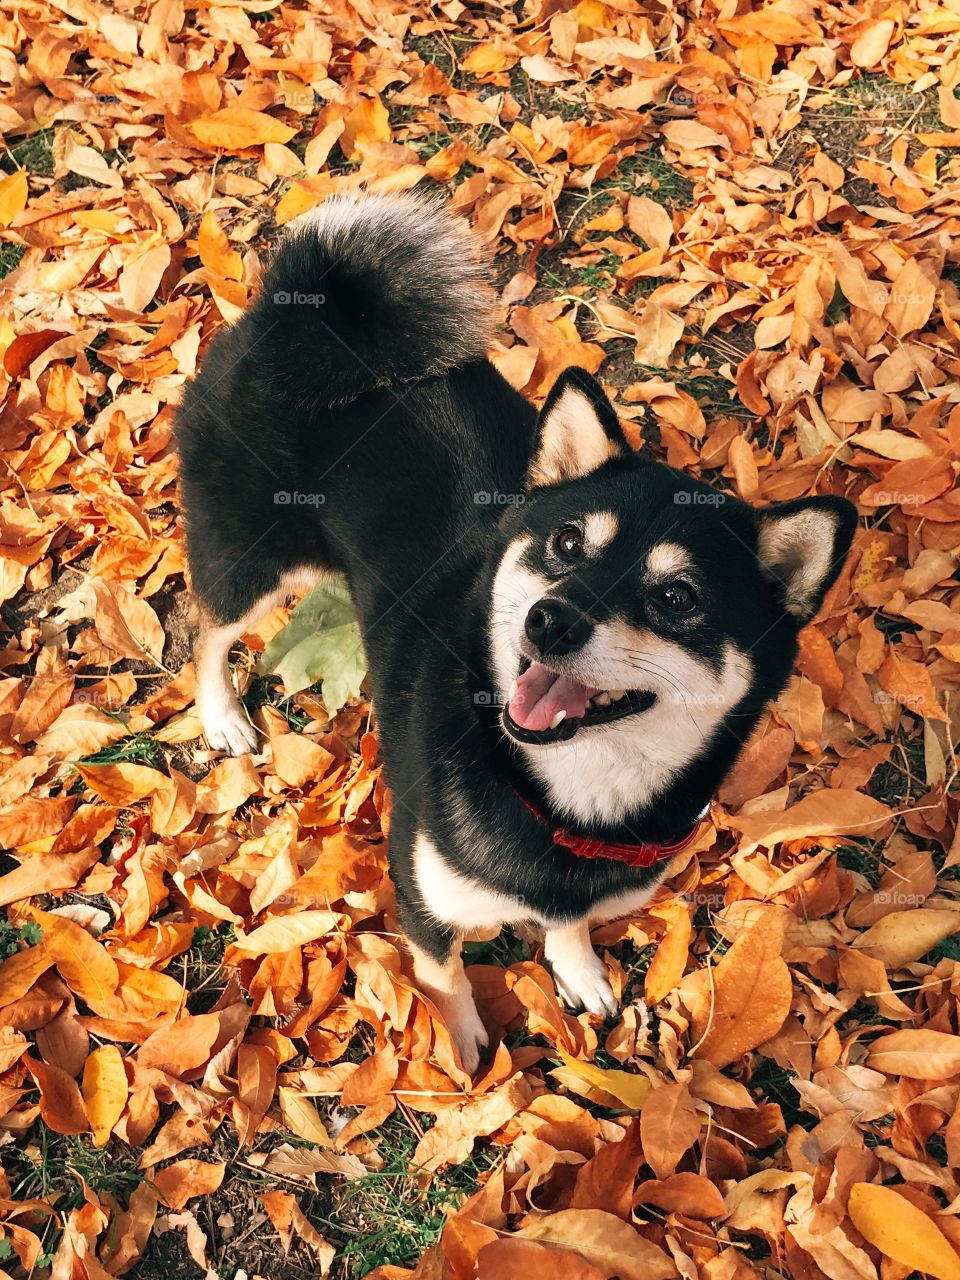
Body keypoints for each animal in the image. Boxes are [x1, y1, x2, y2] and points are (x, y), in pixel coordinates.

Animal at [176, 189, 860, 1070]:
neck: (567, 805)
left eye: (679, 597)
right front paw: (461, 1048)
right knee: (207, 631)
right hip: (255, 563)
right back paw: (222, 715)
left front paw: (577, 970)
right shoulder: (422, 890)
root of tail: (301, 316)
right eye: (567, 543)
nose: (550, 620)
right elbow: (443, 977)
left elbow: (567, 928)